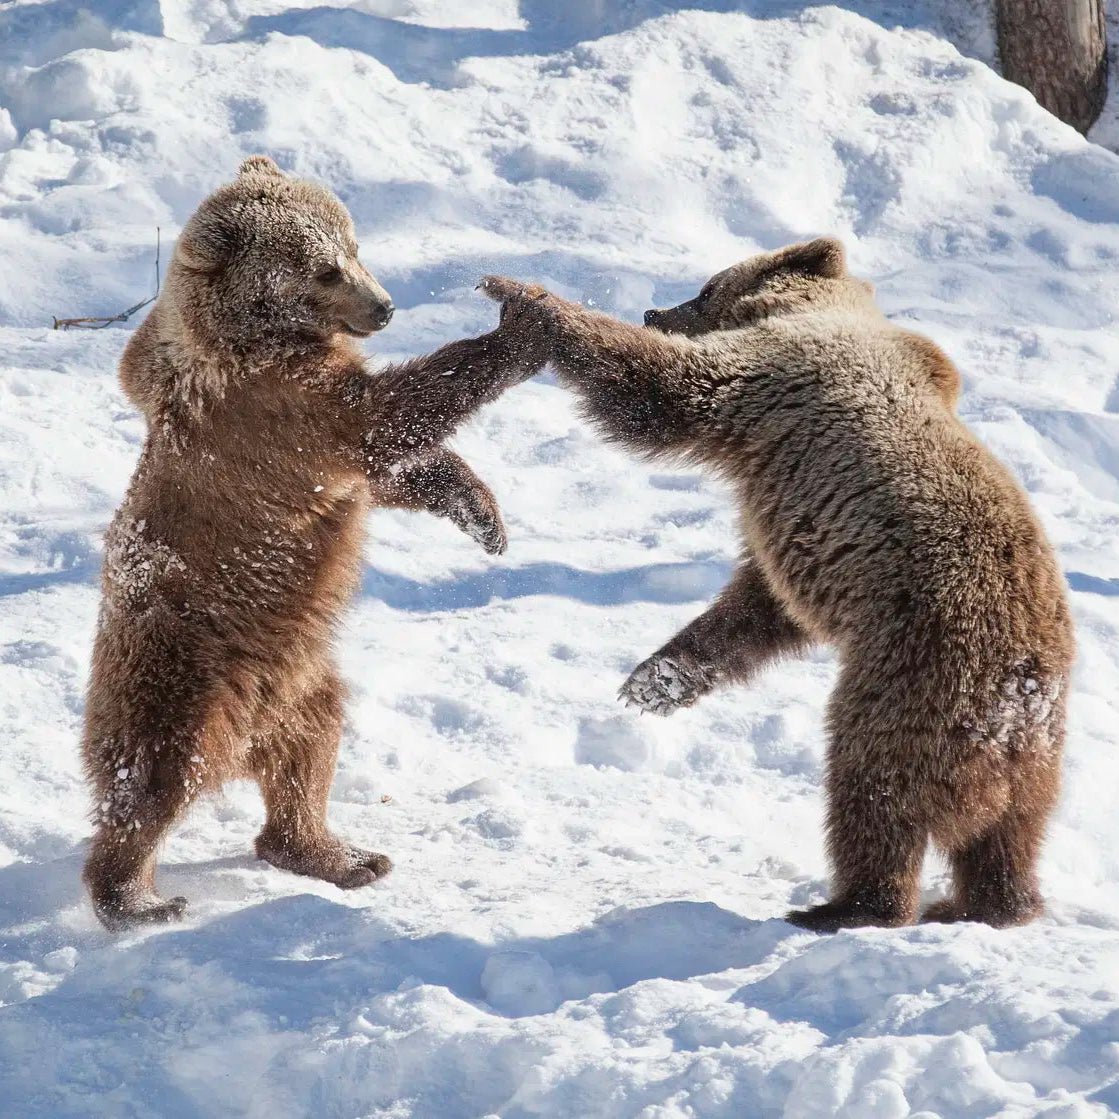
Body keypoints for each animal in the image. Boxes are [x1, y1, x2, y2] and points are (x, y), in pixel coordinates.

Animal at [82, 156, 544, 930]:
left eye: (353, 244)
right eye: (324, 269)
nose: (385, 307)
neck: (254, 336)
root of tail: (244, 735)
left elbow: (386, 469)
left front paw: (484, 514)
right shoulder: (273, 406)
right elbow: (387, 416)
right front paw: (524, 325)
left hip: (299, 682)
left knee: (311, 752)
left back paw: (338, 853)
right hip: (179, 670)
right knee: (152, 776)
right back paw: (136, 897)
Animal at [480, 237, 1074, 932]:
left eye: (706, 287)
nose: (657, 309)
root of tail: (1014, 695)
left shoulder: (770, 384)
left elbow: (659, 389)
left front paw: (521, 294)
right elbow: (757, 609)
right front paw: (656, 681)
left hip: (910, 679)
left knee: (872, 787)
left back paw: (847, 905)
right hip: (1036, 751)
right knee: (1010, 832)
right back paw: (987, 904)